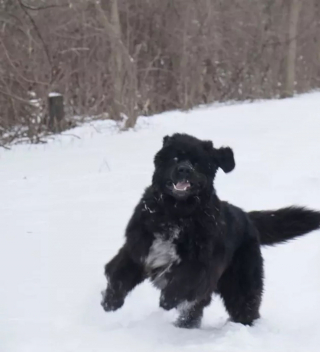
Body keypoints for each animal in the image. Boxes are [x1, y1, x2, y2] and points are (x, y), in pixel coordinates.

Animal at [101, 133, 320, 328]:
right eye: (175, 157)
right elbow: (119, 274)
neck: (175, 215)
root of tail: (246, 216)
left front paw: (167, 299)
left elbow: (183, 280)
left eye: (197, 162)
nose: (184, 170)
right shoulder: (138, 248)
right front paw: (110, 301)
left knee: (244, 305)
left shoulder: (202, 265)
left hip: (241, 282)